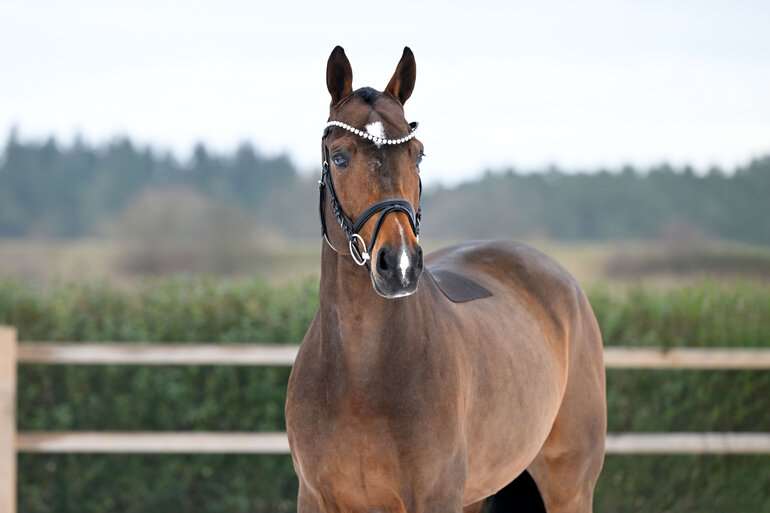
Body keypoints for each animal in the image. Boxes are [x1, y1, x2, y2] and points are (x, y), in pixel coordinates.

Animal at [286, 46, 606, 513]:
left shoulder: (435, 498)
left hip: (570, 485)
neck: (359, 373)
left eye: (417, 153)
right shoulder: (315, 497)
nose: (398, 264)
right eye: (340, 157)